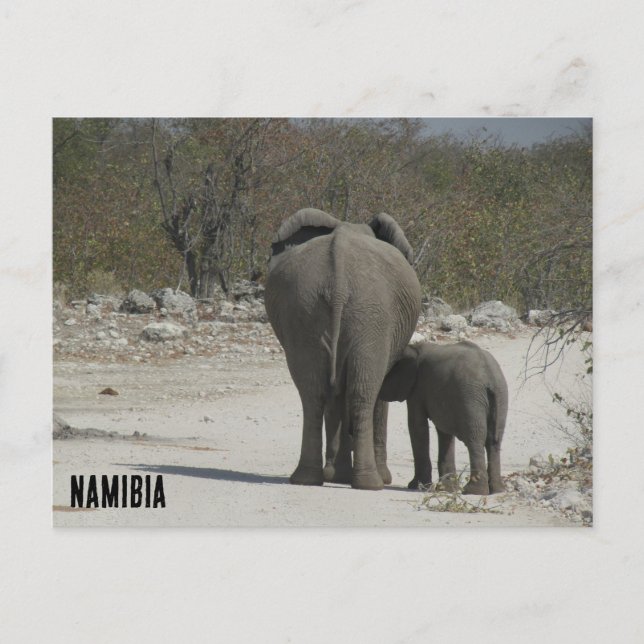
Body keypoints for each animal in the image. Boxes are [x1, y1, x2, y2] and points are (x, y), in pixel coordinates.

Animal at [265, 208, 422, 490]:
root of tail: (337, 282)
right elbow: (379, 393)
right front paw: (369, 477)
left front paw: (335, 475)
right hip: (372, 315)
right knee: (364, 394)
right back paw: (371, 483)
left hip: (305, 310)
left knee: (313, 393)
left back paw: (307, 479)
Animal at [379, 340, 508, 495]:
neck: (414, 348)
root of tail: (490, 377)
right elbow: (444, 433)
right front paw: (447, 489)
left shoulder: (418, 388)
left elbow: (417, 426)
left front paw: (416, 486)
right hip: (500, 397)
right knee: (494, 441)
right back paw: (497, 490)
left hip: (470, 399)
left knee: (475, 439)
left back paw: (473, 491)